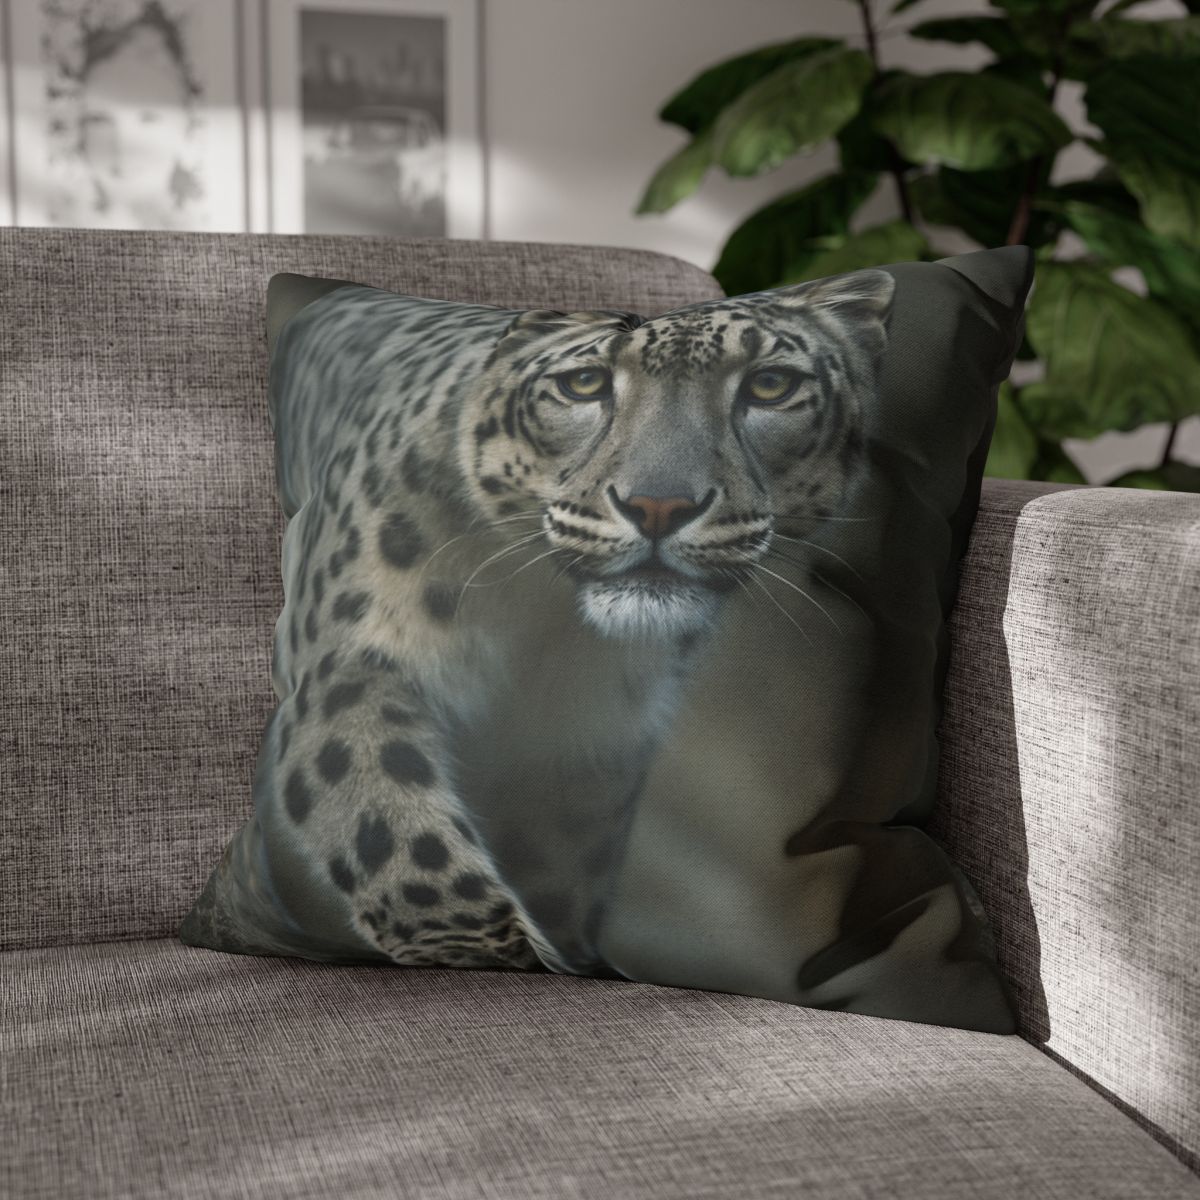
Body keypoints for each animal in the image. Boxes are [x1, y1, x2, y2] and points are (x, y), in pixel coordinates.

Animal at [180, 269, 894, 979]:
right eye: (583, 384)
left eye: (770, 385)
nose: (658, 506)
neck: (537, 625)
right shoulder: (352, 661)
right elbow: (388, 818)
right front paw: (486, 942)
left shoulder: (585, 752)